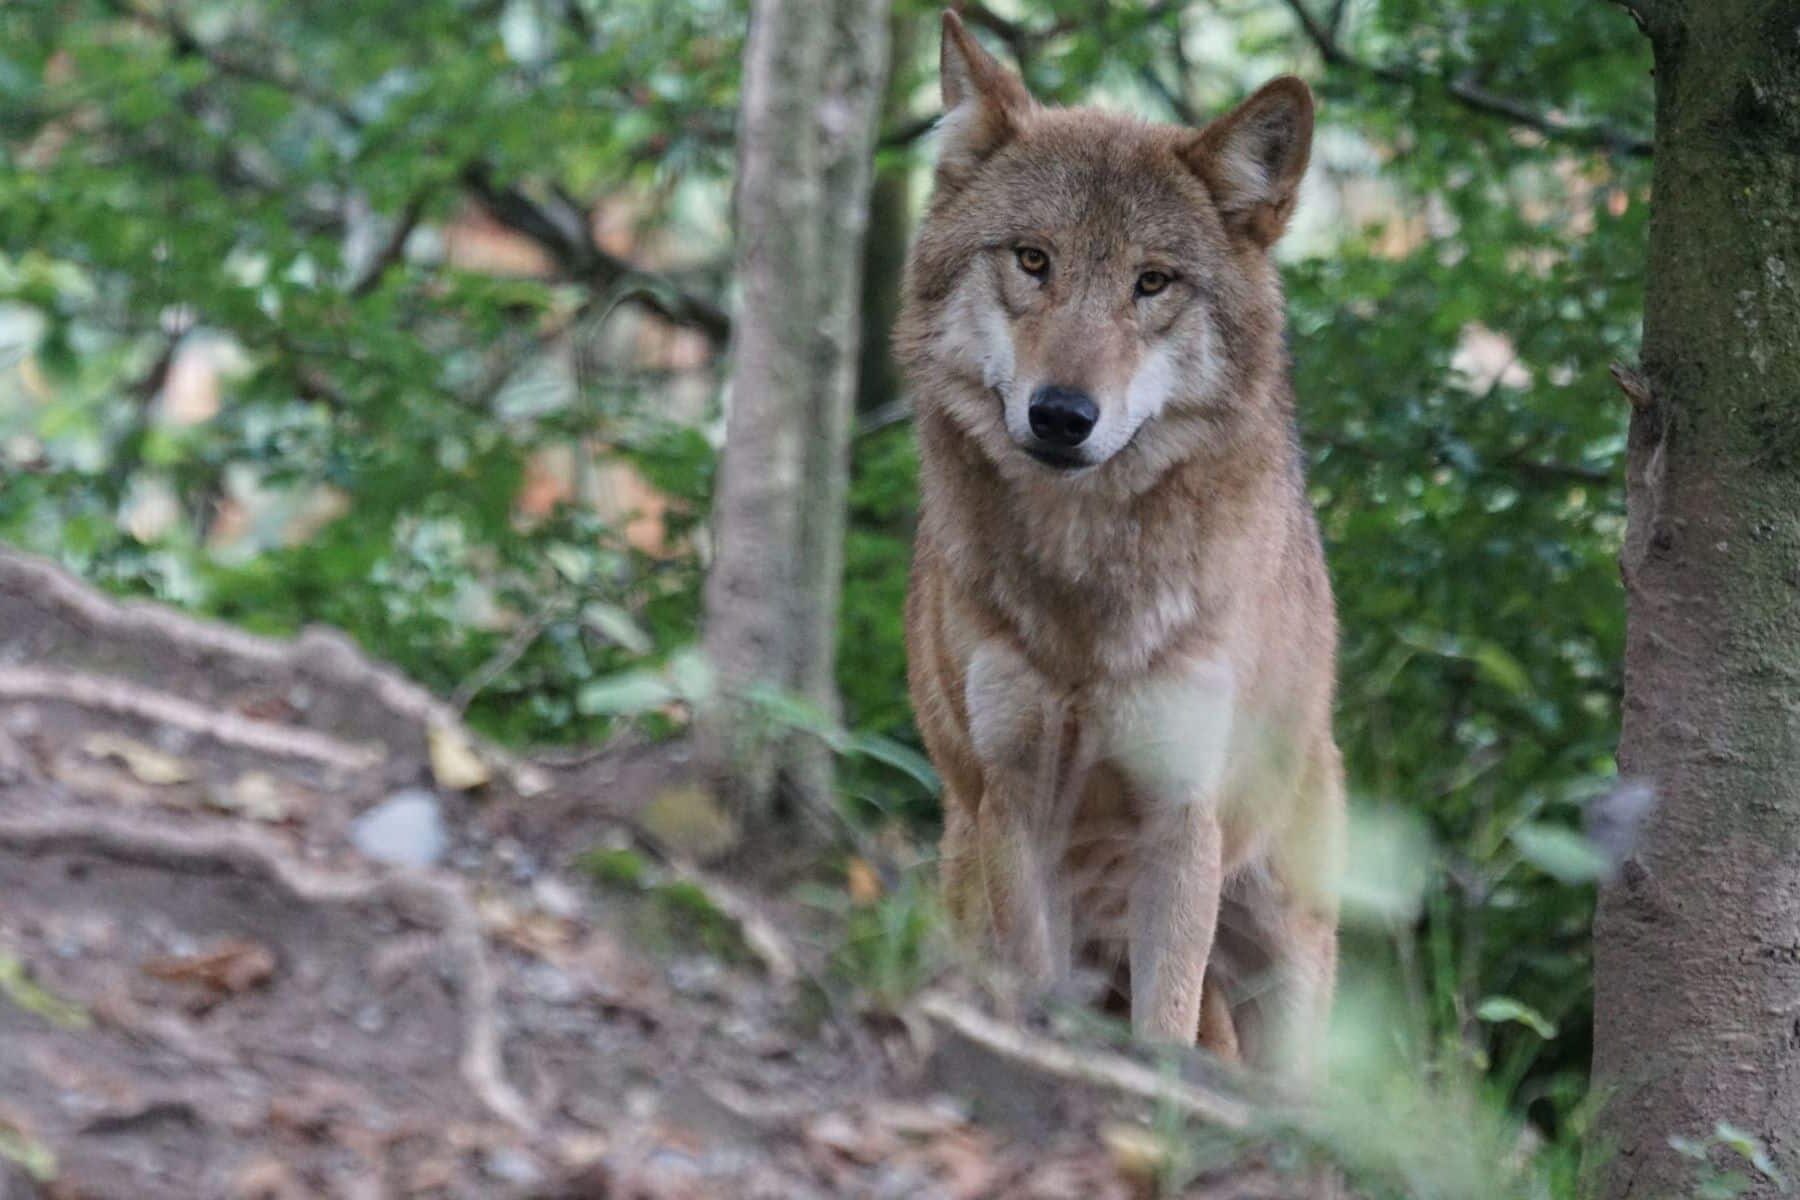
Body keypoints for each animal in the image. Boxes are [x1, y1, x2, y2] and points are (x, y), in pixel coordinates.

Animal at [899, 11, 1344, 1077]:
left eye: (1152, 282)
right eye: (1033, 260)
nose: (1063, 416)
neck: (1083, 594)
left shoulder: (1180, 815)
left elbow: (1165, 1023)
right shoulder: (1016, 798)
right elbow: (1032, 981)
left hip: (1284, 954)